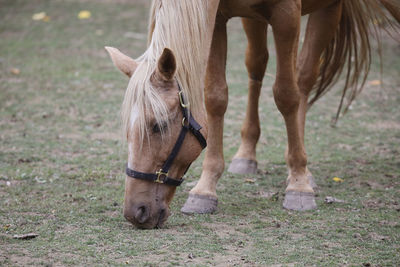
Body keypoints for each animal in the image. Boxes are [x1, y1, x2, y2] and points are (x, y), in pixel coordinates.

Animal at [104, 0, 398, 230]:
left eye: (158, 125)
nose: (136, 212)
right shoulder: (218, 19)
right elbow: (215, 97)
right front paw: (205, 189)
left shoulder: (287, 15)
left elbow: (286, 95)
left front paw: (299, 184)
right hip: (253, 18)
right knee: (257, 66)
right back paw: (247, 155)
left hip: (327, 9)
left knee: (303, 79)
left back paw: (300, 170)